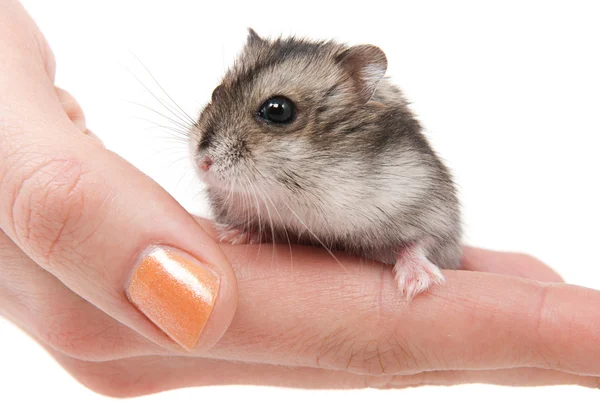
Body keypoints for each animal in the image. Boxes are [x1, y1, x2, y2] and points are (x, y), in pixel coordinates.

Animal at [190, 29, 462, 298]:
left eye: (278, 109)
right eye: (215, 93)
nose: (202, 163)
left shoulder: (430, 206)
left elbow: (423, 241)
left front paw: (418, 283)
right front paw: (232, 234)